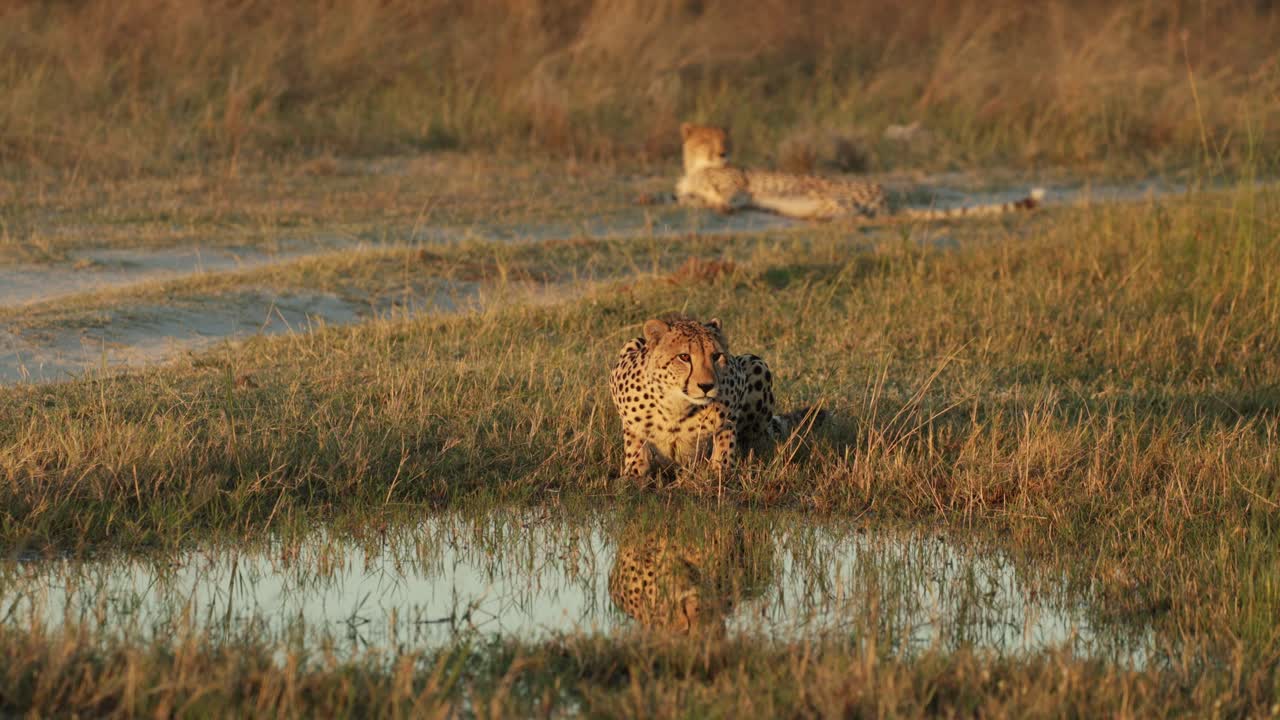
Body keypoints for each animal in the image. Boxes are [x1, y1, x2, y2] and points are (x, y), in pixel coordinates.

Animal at [608, 315, 824, 481]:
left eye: (716, 356)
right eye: (684, 357)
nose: (707, 386)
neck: (676, 406)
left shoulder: (733, 397)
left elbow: (724, 439)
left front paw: (720, 470)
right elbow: (635, 445)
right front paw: (633, 474)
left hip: (755, 363)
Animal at [673, 122, 1044, 221]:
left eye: (725, 138)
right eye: (708, 139)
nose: (724, 151)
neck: (697, 166)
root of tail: (888, 197)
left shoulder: (741, 186)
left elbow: (728, 195)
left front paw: (720, 204)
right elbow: (687, 197)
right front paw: (699, 201)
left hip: (833, 195)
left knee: (851, 214)